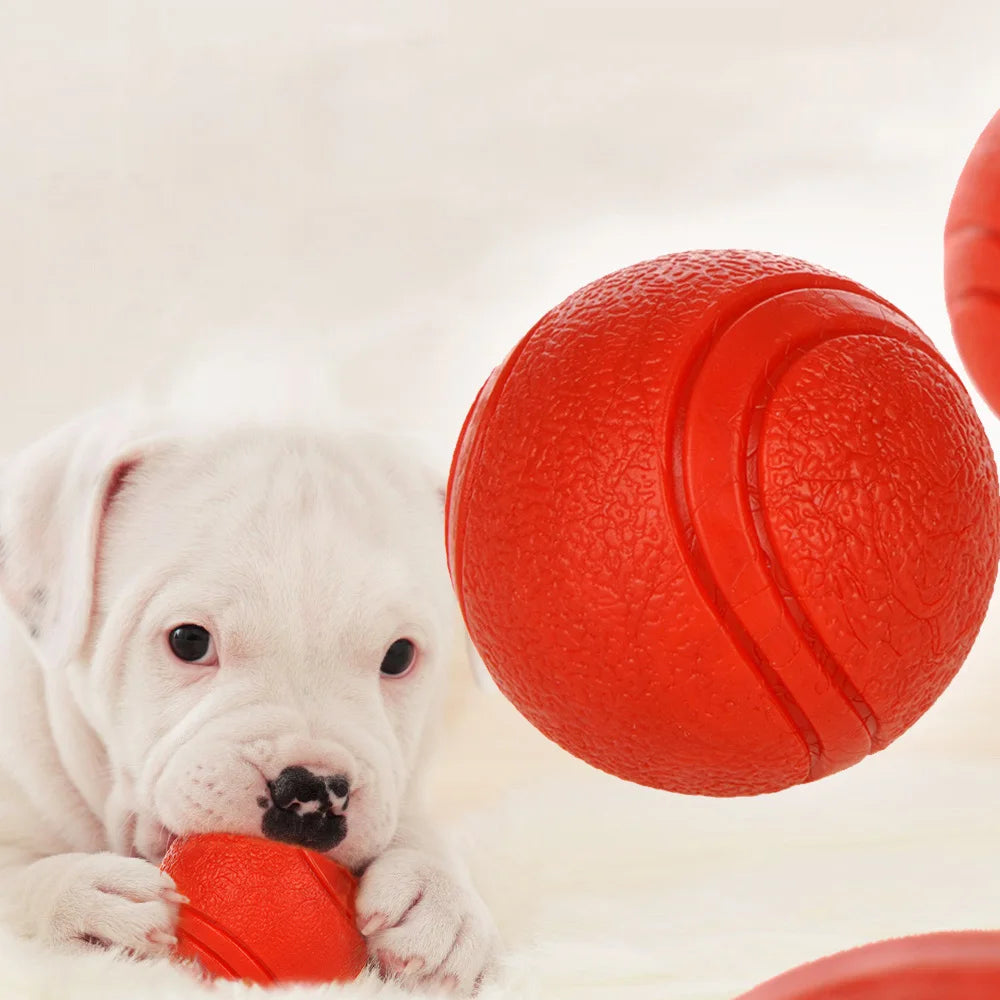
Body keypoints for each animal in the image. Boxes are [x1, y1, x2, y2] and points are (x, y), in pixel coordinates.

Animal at [0, 396, 500, 992]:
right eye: (189, 641)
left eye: (399, 657)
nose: (311, 792)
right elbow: (15, 882)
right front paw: (79, 896)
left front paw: (440, 896)